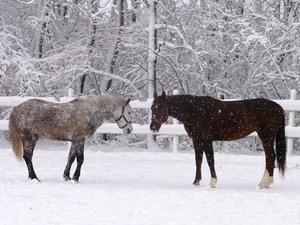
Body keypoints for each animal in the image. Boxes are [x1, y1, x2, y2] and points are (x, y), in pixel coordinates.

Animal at [150, 91, 286, 188]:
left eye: (160, 107)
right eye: (152, 108)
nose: (152, 127)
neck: (194, 110)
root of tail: (279, 108)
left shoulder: (206, 140)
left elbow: (210, 160)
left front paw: (212, 182)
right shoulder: (197, 140)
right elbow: (198, 160)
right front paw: (196, 182)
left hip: (266, 137)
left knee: (270, 157)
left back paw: (264, 183)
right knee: (270, 157)